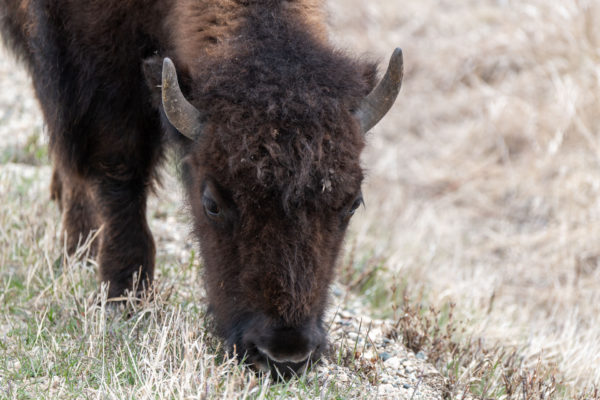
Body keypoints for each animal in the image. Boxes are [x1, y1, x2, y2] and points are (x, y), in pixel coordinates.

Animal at [1, 0, 404, 376]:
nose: (284, 354)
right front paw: (125, 296)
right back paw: (79, 248)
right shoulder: (95, 58)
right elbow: (119, 167)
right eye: (212, 203)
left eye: (353, 203)